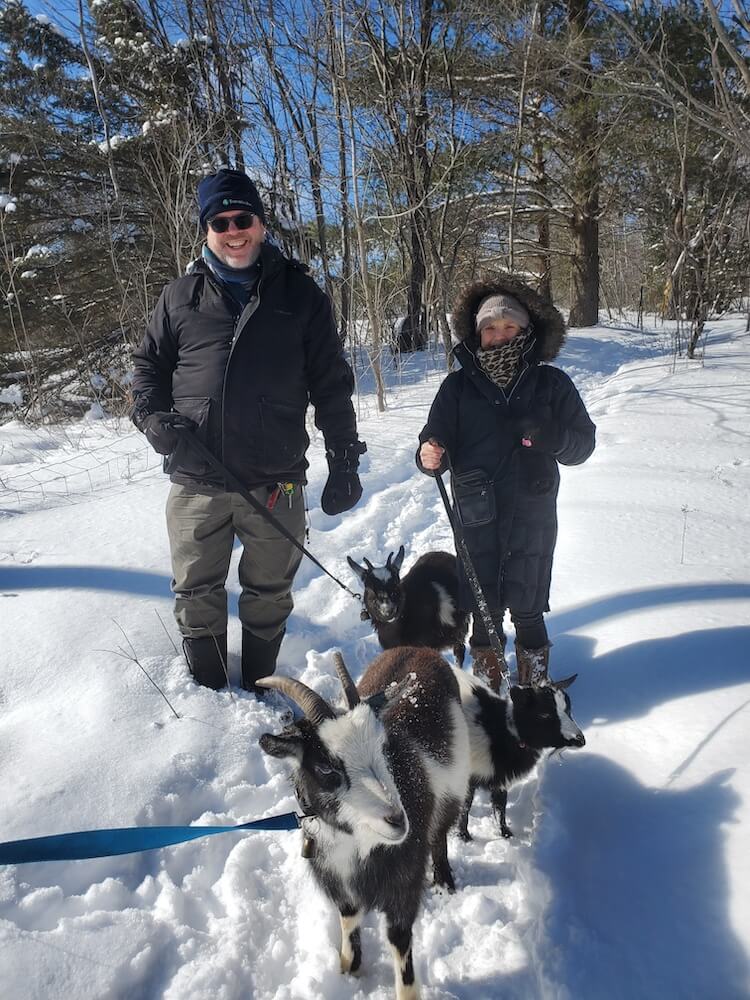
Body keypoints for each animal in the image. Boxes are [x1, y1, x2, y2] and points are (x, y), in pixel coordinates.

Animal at [258, 644, 470, 996]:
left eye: (385, 748)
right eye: (326, 767)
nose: (398, 821)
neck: (355, 842)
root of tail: (417, 647)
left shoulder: (403, 882)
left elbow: (399, 938)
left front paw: (407, 993)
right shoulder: (338, 881)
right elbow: (348, 917)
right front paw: (348, 967)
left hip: (452, 790)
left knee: (440, 834)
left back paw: (443, 883)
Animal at [452, 668, 588, 840]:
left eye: (568, 710)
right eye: (544, 714)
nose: (580, 740)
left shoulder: (500, 780)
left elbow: (500, 805)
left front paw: (505, 833)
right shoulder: (466, 774)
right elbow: (465, 806)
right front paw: (463, 835)